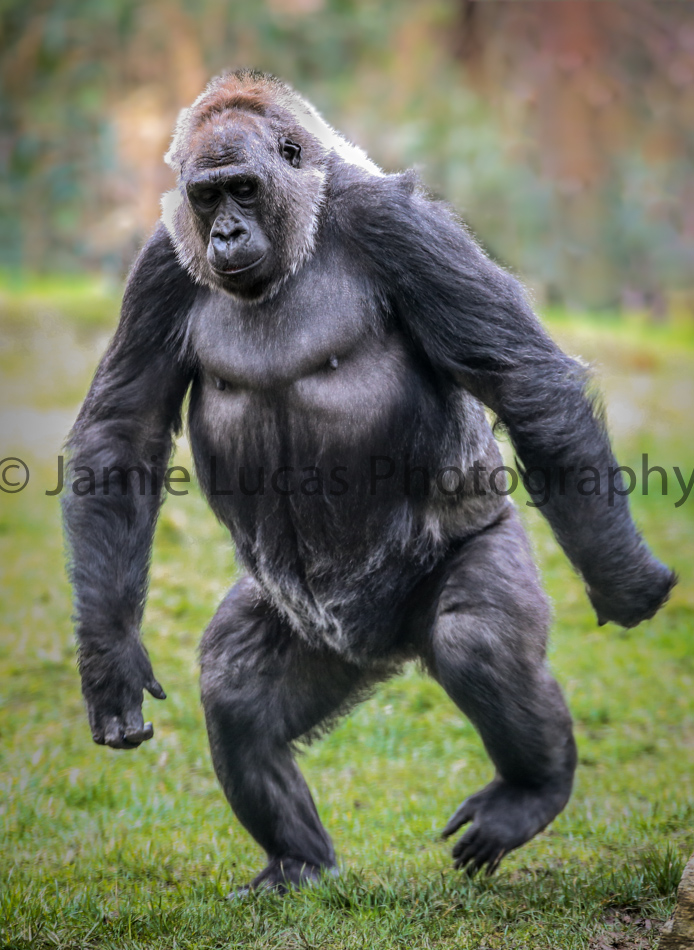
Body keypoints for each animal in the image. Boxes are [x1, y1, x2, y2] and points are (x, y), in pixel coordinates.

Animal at [63, 70, 675, 893]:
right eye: (206, 197)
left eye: (244, 190)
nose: (224, 236)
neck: (306, 222)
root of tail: (391, 649)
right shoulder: (161, 265)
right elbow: (121, 434)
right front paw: (110, 661)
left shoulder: (402, 227)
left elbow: (522, 380)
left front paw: (622, 576)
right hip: (325, 640)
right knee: (236, 685)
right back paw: (298, 862)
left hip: (463, 562)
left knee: (475, 640)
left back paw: (532, 789)